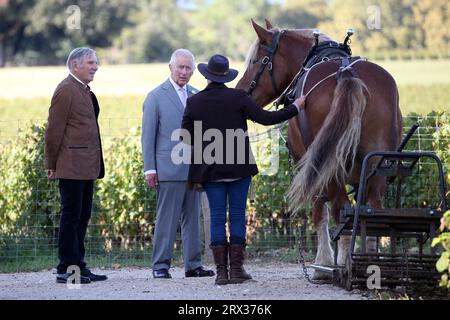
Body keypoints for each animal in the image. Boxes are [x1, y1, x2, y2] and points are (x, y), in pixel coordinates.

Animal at [237, 20, 402, 278]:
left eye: (256, 60)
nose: (241, 91)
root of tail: (347, 73)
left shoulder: (305, 162)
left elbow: (319, 209)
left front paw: (323, 263)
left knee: (339, 207)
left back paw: (341, 263)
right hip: (378, 164)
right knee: (372, 207)